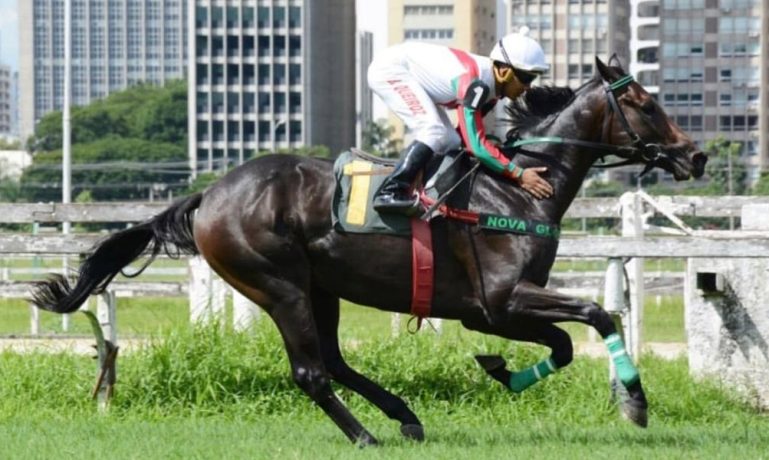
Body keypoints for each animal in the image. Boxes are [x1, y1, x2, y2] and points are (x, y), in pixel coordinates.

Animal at [34, 55, 708, 444]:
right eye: (644, 103)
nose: (696, 155)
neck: (513, 190)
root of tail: (209, 194)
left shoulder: (494, 311)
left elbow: (565, 345)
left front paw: (501, 371)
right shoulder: (498, 301)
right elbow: (599, 315)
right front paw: (636, 402)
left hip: (320, 288)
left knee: (332, 362)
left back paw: (404, 416)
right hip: (276, 285)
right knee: (310, 372)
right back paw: (366, 437)